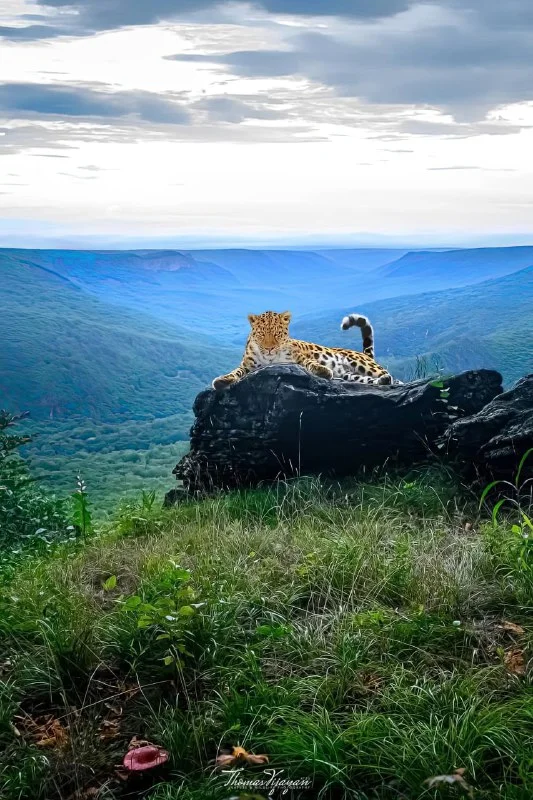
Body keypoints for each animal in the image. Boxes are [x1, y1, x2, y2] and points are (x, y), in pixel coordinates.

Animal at [210, 310, 396, 390]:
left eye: (277, 334)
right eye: (262, 334)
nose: (269, 349)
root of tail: (364, 354)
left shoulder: (300, 357)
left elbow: (310, 363)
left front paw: (323, 371)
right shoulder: (247, 365)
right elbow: (236, 372)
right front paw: (222, 380)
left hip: (362, 364)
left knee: (393, 378)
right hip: (350, 375)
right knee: (374, 380)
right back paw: (382, 381)